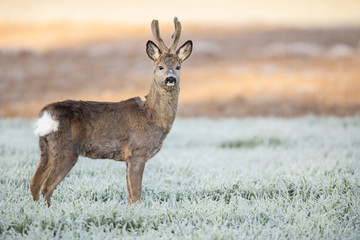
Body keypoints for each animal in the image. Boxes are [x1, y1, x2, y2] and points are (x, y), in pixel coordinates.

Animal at [29, 17, 193, 204]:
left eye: (178, 66)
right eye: (160, 67)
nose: (170, 78)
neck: (152, 116)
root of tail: (46, 116)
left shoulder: (128, 158)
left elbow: (130, 194)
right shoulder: (138, 150)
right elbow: (136, 194)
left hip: (45, 148)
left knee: (34, 183)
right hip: (66, 149)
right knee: (46, 187)